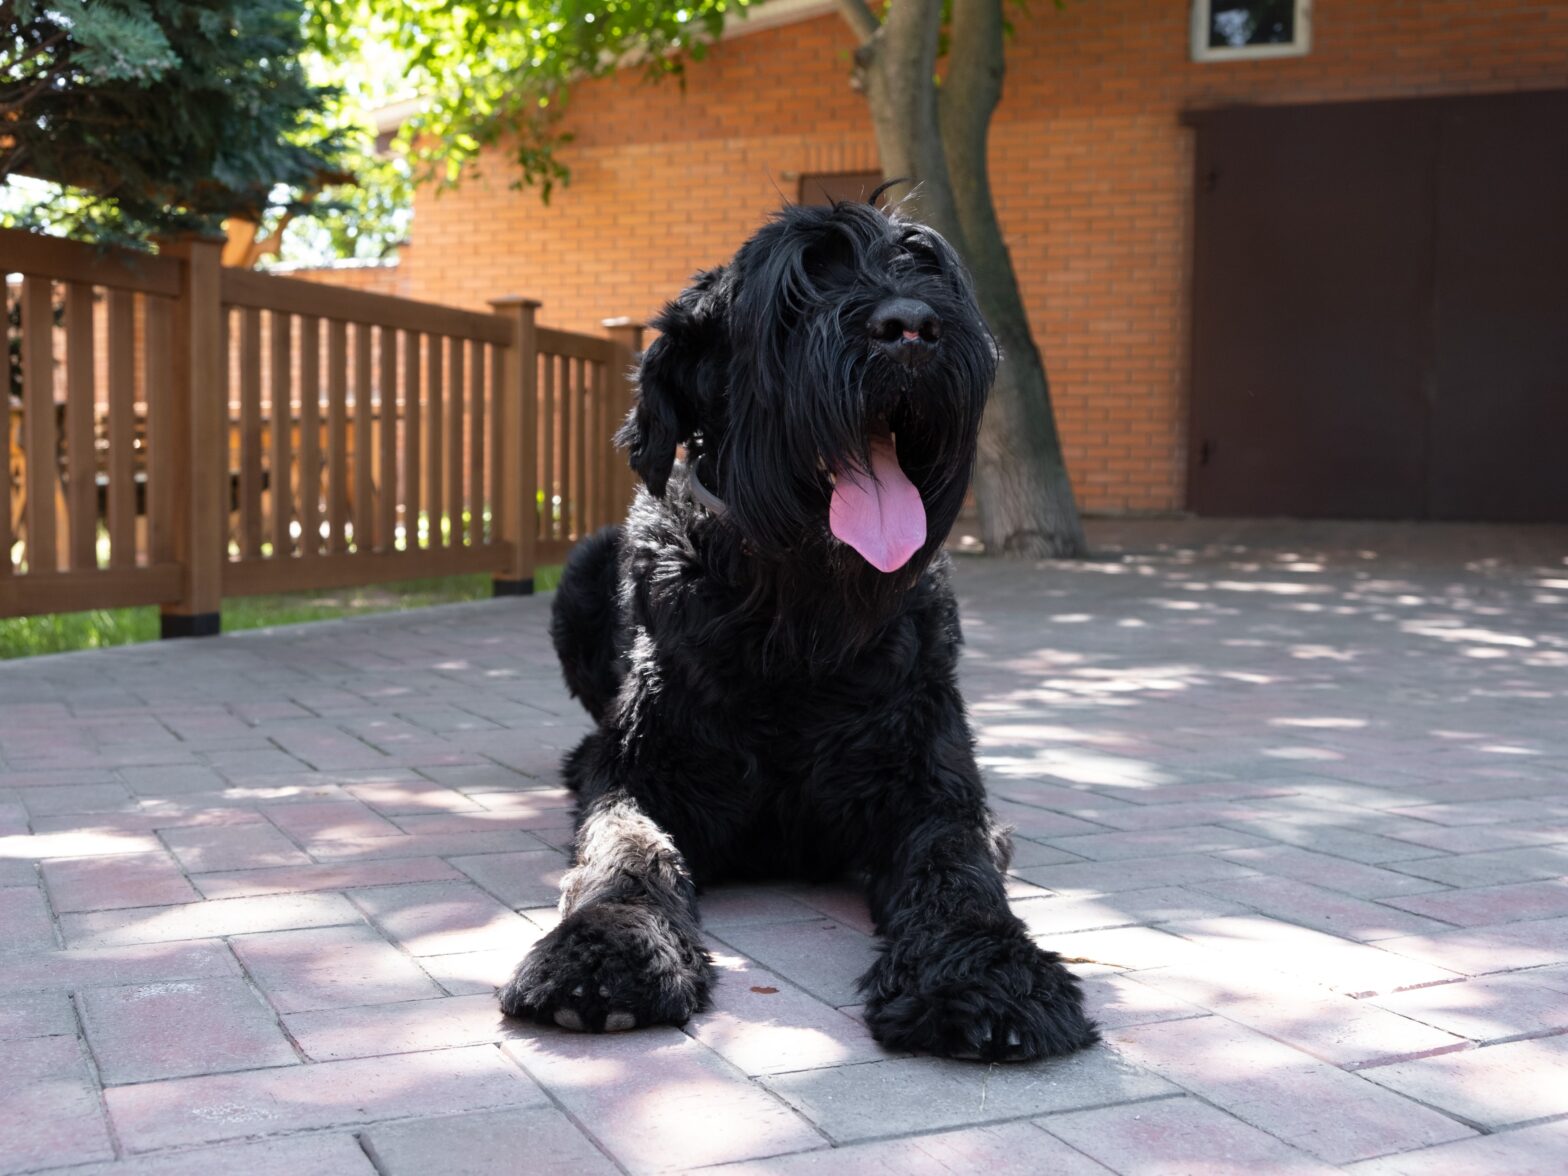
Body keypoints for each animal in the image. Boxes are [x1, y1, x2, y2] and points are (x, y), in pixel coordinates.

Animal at [501, 198, 1103, 1066]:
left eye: (929, 270)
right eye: (798, 291)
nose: (912, 326)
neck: (800, 623)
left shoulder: (932, 782)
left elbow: (957, 866)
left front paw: (987, 973)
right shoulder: (644, 770)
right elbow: (626, 847)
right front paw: (604, 949)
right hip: (581, 576)